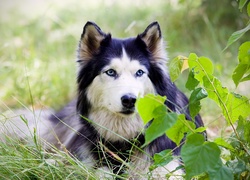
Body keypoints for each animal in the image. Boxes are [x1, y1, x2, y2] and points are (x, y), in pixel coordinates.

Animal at [0, 21, 205, 179]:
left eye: (139, 72)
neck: (124, 142)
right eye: (111, 72)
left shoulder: (167, 167)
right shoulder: (93, 164)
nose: (129, 100)